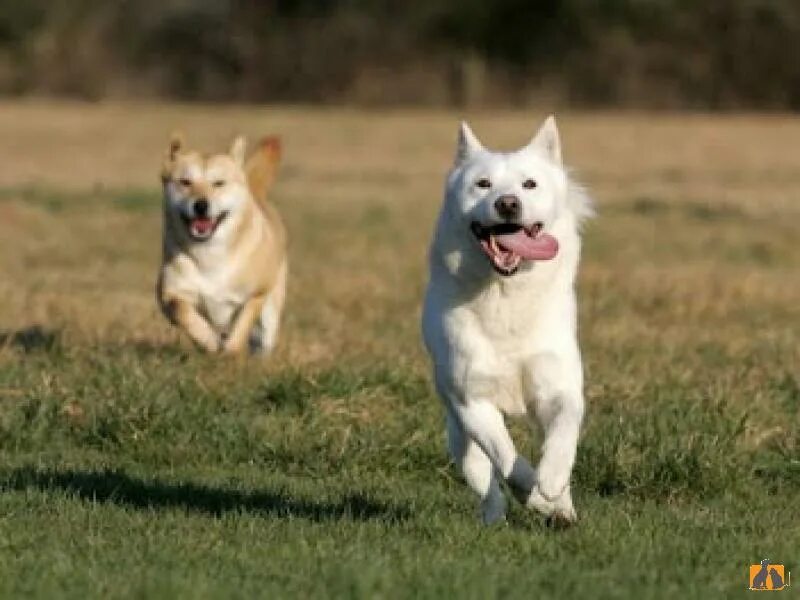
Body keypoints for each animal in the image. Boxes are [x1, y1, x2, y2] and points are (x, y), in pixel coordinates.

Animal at [157, 134, 288, 354]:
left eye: (219, 183)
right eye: (185, 182)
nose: (201, 205)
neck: (210, 255)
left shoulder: (256, 294)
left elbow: (243, 322)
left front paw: (231, 350)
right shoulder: (169, 294)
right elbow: (183, 312)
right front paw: (208, 340)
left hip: (270, 314)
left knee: (263, 337)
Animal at [422, 115, 592, 524]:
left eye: (529, 184)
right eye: (482, 184)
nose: (508, 204)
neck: (505, 296)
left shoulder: (559, 388)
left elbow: (563, 437)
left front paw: (551, 488)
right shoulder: (472, 402)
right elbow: (507, 457)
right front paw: (535, 495)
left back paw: (563, 510)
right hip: (460, 438)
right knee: (487, 483)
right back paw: (497, 518)